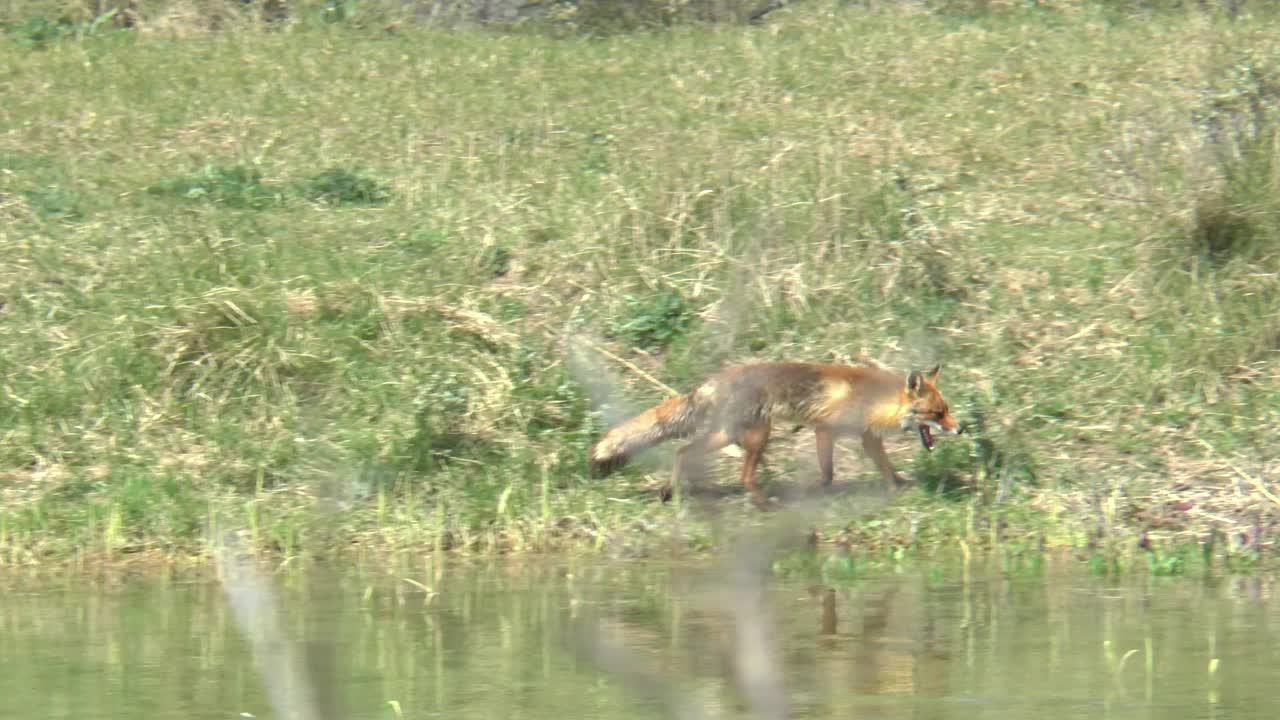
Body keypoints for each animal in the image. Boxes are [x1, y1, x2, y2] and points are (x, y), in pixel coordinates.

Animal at [588, 362, 963, 509]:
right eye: (937, 413)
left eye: (946, 409)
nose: (961, 428)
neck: (874, 400)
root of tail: (712, 382)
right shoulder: (826, 428)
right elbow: (828, 473)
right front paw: (815, 493)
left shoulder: (867, 437)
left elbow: (884, 468)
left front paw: (896, 486)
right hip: (756, 436)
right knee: (732, 471)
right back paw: (763, 504)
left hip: (731, 435)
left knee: (684, 451)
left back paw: (671, 491)